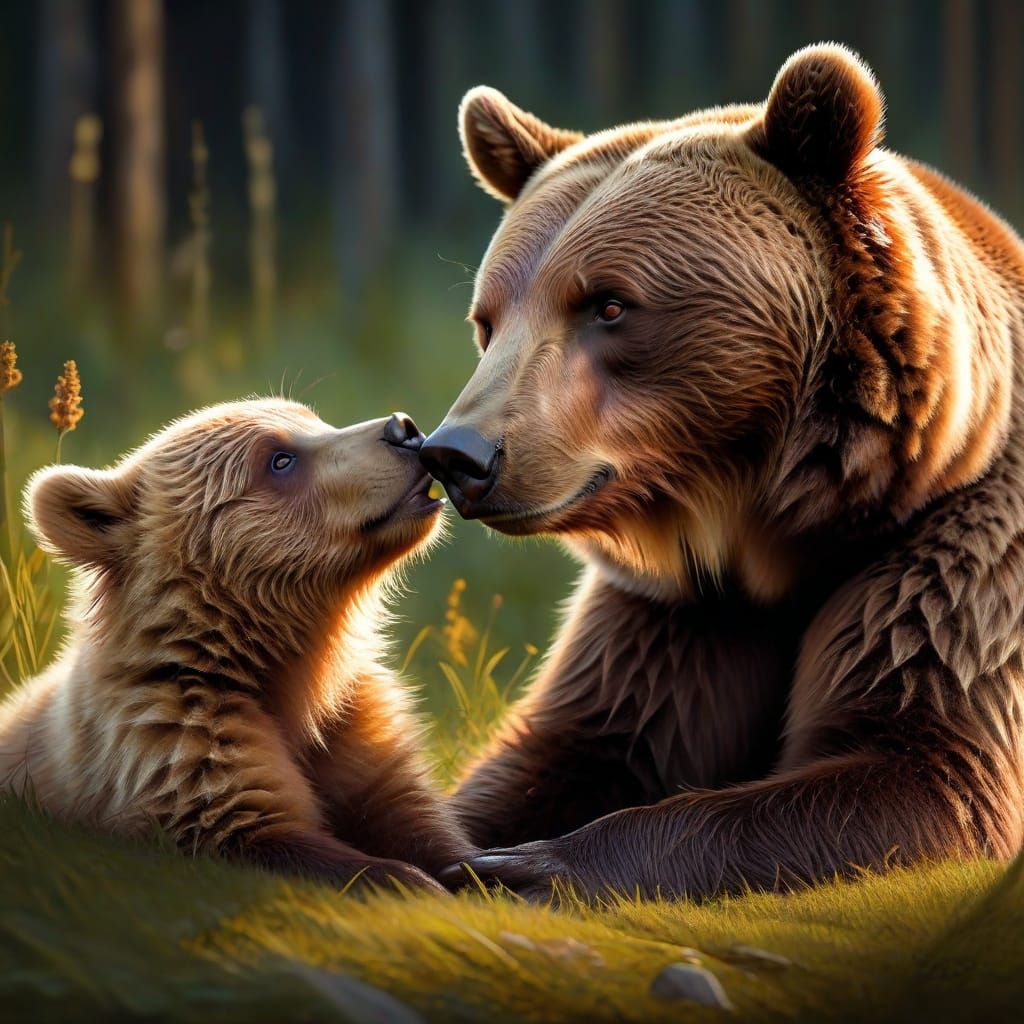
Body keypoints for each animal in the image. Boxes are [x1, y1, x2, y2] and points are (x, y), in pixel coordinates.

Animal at [0, 399, 469, 892]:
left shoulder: (354, 728)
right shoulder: (183, 738)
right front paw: (410, 878)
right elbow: (255, 828)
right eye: (279, 460)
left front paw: (475, 869)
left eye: (313, 419)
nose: (403, 428)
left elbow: (408, 812)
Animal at [419, 44, 1024, 901]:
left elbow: (924, 770)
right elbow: (570, 747)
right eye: (487, 321)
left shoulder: (952, 553)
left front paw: (531, 865)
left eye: (609, 305)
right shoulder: (675, 611)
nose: (458, 454)